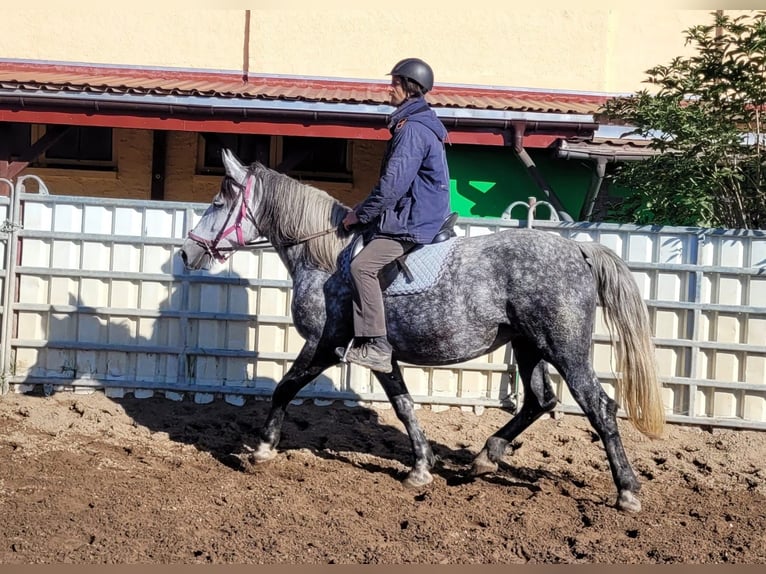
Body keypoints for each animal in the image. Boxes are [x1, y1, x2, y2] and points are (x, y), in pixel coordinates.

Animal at [180, 151, 664, 516]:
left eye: (219, 202)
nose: (186, 252)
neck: (326, 257)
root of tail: (578, 249)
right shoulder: (381, 354)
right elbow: (404, 405)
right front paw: (421, 466)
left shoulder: (323, 345)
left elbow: (284, 387)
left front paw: (262, 448)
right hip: (529, 346)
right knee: (539, 400)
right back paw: (484, 458)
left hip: (564, 347)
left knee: (599, 408)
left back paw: (627, 491)